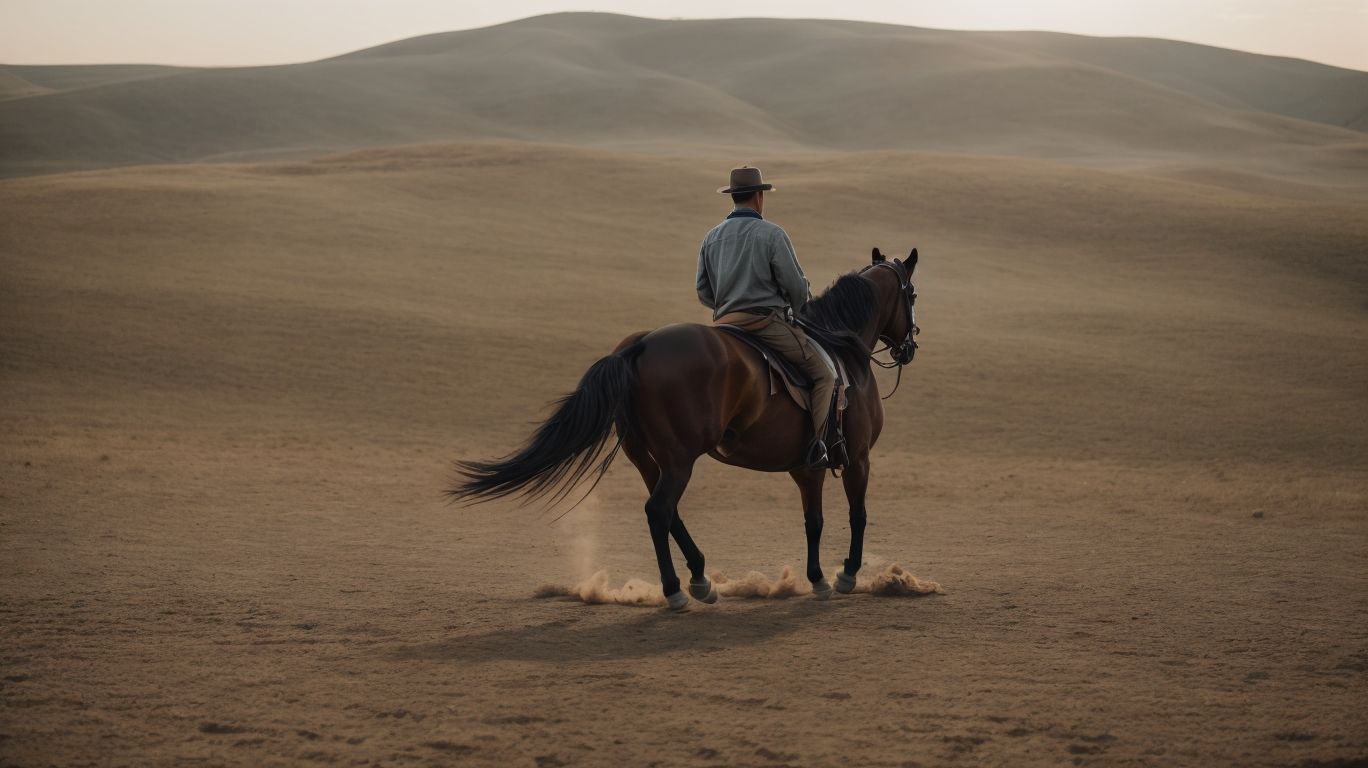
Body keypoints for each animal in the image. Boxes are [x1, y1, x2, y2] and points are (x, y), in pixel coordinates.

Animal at [450, 247, 919, 610]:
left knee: (666, 511)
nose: (910, 346)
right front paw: (846, 575)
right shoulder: (858, 458)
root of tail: (640, 345)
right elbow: (857, 514)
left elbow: (814, 520)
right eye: (912, 293)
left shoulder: (807, 467)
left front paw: (818, 578)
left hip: (646, 457)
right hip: (679, 459)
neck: (842, 349)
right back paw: (677, 590)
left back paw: (701, 579)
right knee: (659, 510)